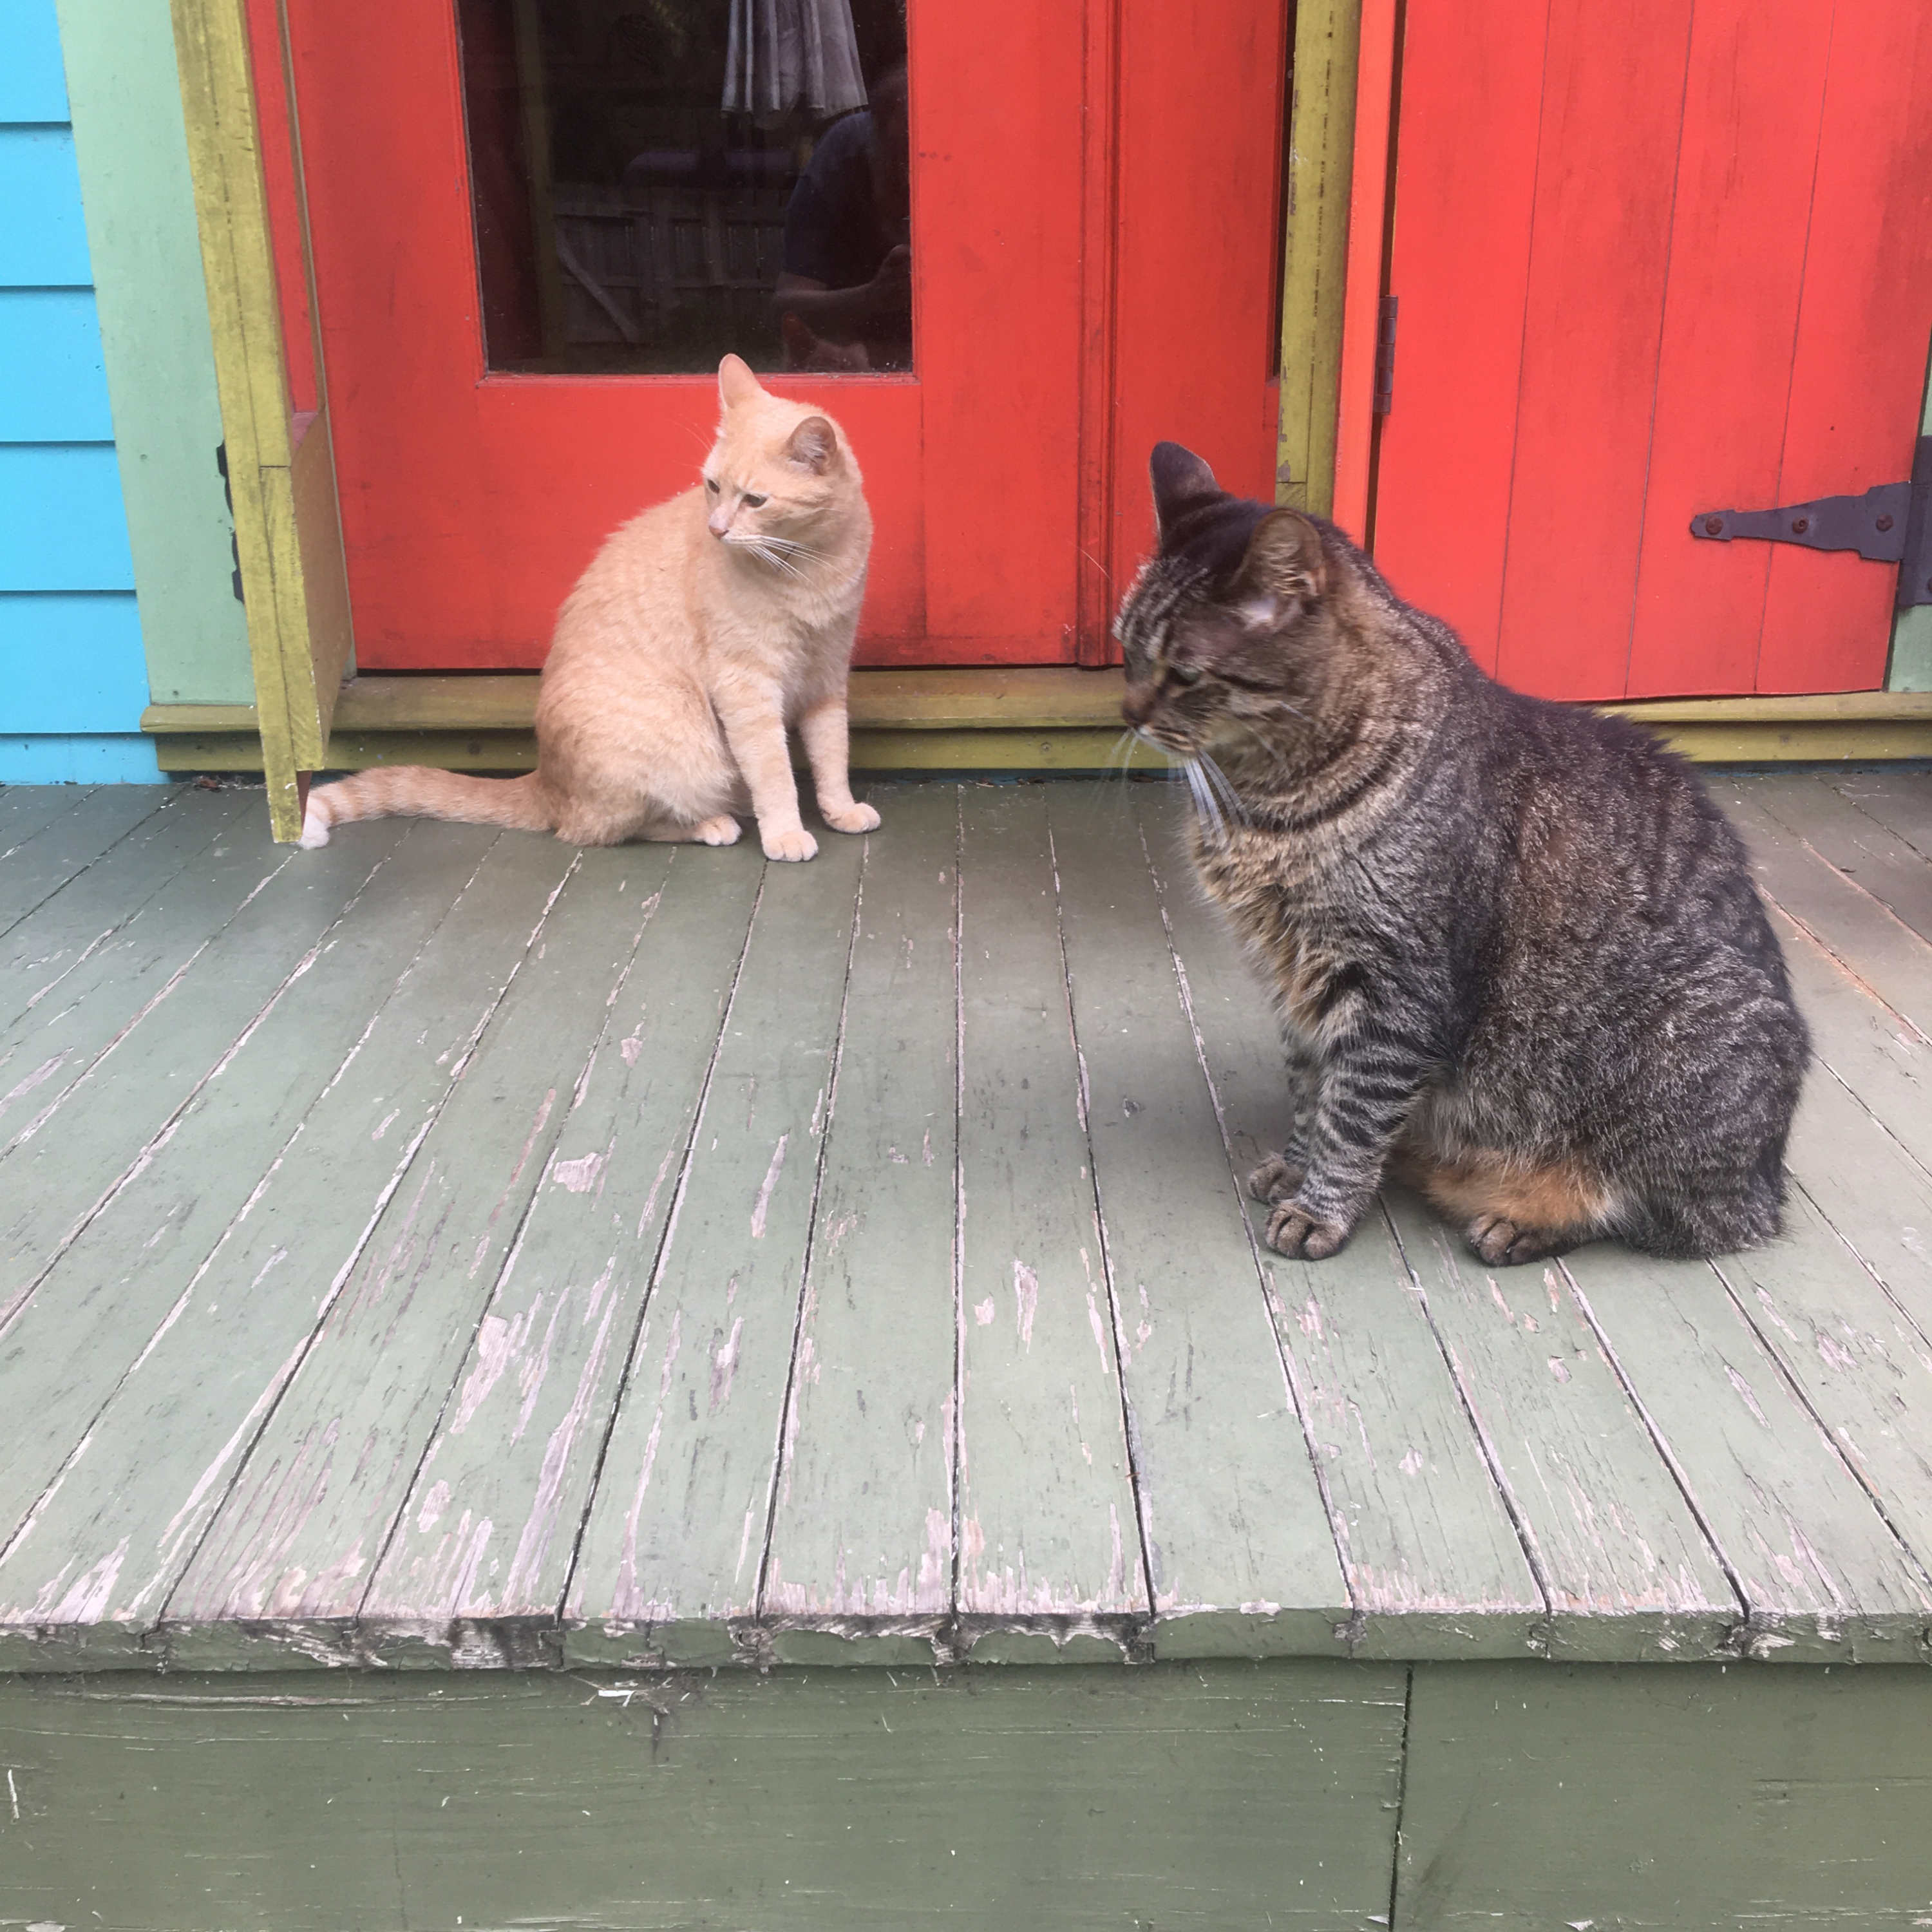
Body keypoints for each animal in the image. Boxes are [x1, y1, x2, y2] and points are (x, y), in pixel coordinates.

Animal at [301, 354, 885, 862]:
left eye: (756, 501)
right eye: (713, 486)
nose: (717, 529)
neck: (812, 566)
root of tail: (546, 780)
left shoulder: (827, 677)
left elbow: (832, 755)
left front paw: (840, 811)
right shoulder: (747, 689)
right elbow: (774, 772)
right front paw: (785, 832)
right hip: (682, 740)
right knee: (601, 829)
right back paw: (710, 823)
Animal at [1121, 444, 1808, 1275]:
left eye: (1185, 673)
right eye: (1126, 649)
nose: (1127, 712)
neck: (1264, 805)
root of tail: (1770, 1180)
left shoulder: (1390, 990)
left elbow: (1351, 1114)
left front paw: (1321, 1208)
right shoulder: (1299, 986)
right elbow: (1313, 1093)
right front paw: (1297, 1165)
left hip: (1683, 1054)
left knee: (1666, 1214)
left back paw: (1521, 1220)